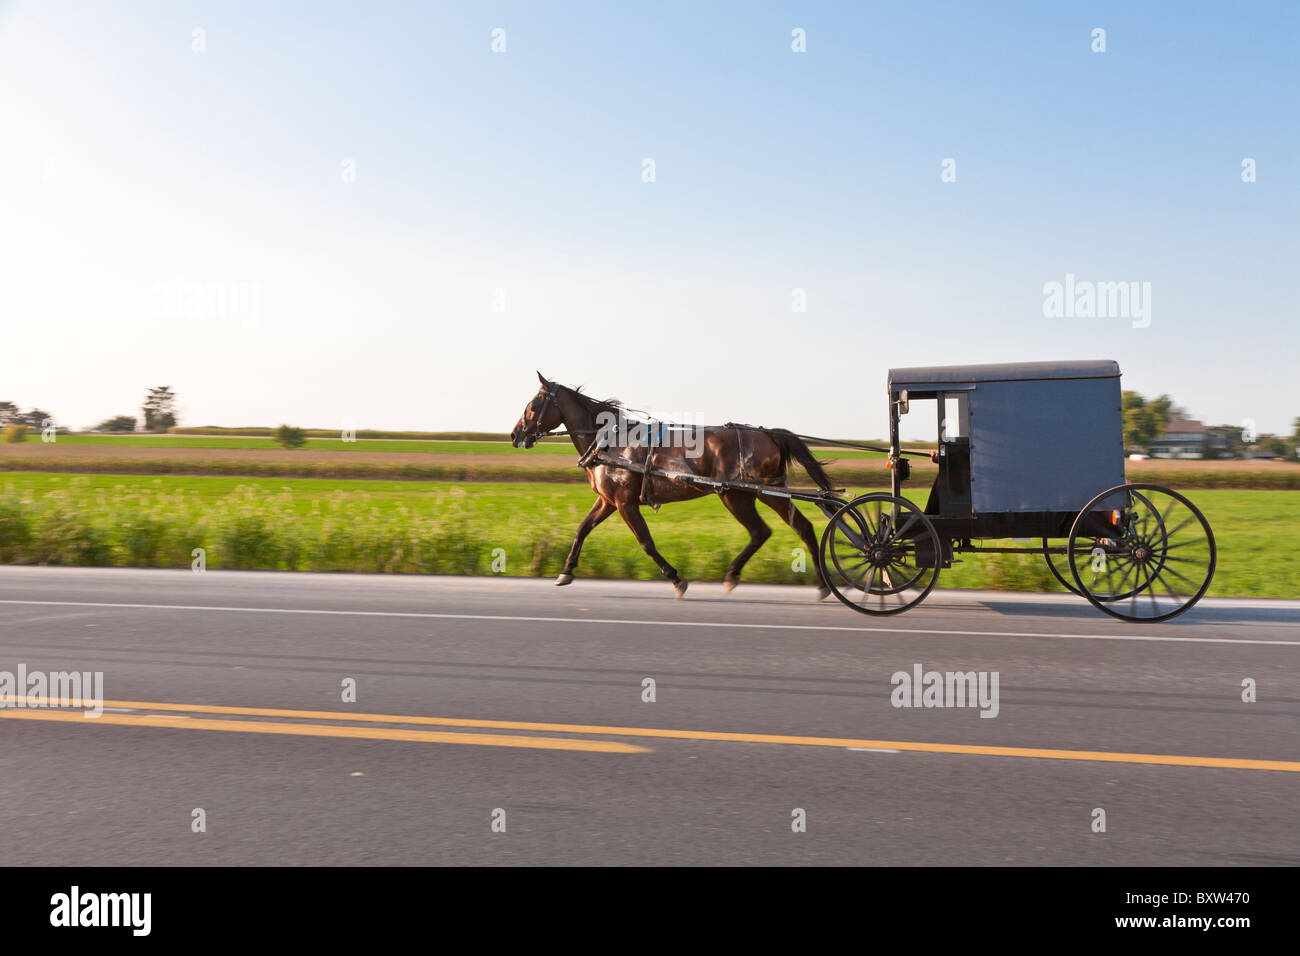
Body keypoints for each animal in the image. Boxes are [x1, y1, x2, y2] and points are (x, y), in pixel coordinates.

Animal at [506, 371, 832, 598]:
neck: (612, 442)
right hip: (764, 493)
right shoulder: (608, 501)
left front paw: (676, 578)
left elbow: (646, 542)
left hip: (739, 496)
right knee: (795, 528)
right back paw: (814, 584)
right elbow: (582, 529)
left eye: (533, 404)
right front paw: (565, 571)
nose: (515, 434)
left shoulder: (624, 503)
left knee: (764, 531)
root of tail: (767, 433)